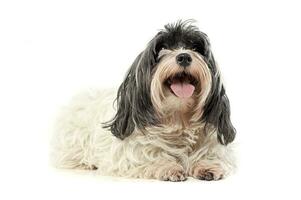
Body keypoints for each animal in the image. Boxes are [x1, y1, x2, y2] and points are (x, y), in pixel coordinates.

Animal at [51, 20, 234, 181]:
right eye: (162, 48)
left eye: (195, 48)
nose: (184, 57)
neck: (178, 119)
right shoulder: (128, 155)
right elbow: (149, 156)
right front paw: (167, 166)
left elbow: (211, 154)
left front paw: (206, 165)